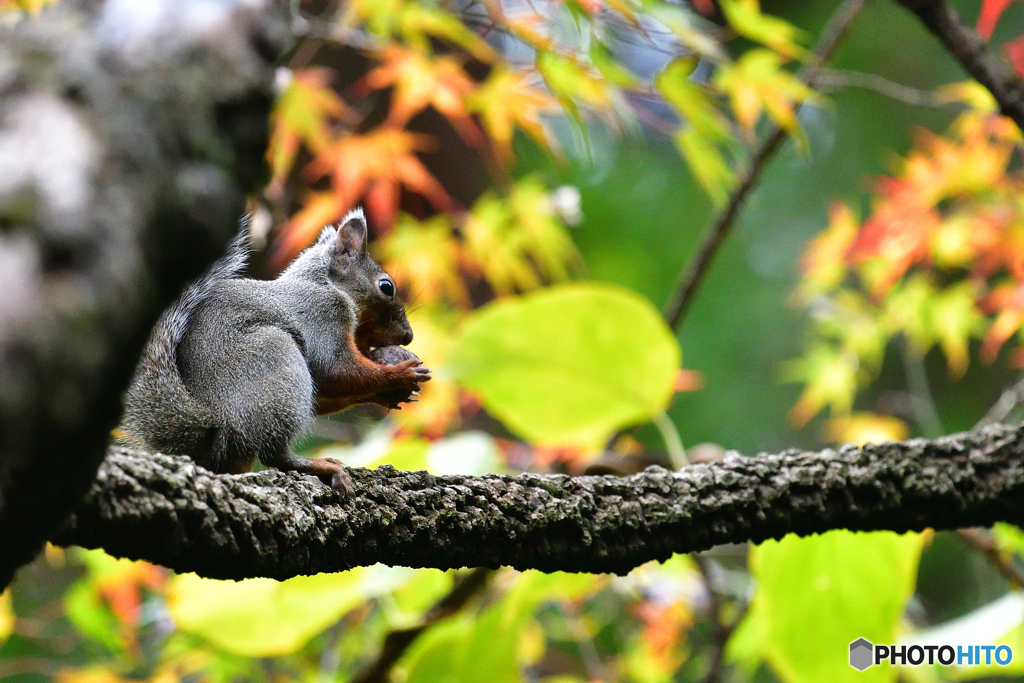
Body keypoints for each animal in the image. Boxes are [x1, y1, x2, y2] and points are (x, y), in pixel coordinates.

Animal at [121, 205, 430, 493]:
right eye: (386, 286)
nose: (408, 336)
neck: (324, 284)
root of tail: (213, 430)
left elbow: (329, 389)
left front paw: (389, 393)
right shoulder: (322, 315)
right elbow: (335, 372)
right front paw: (400, 374)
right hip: (276, 359)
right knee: (273, 455)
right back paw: (321, 466)